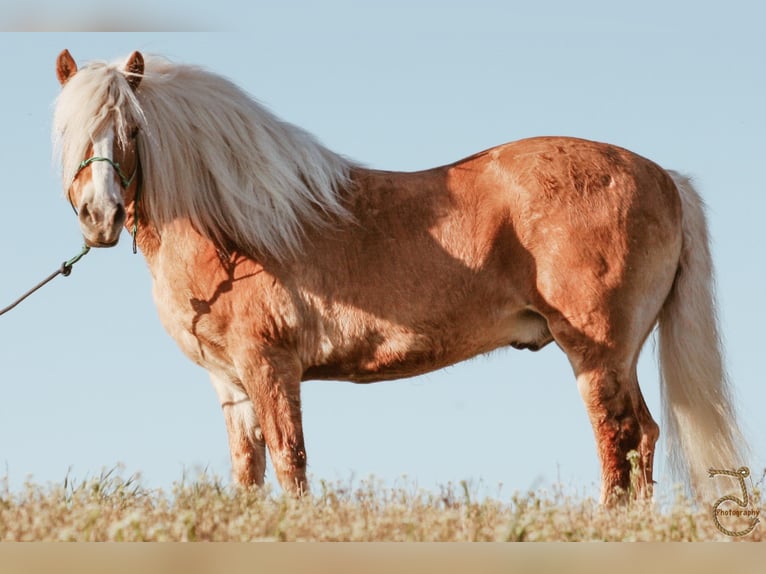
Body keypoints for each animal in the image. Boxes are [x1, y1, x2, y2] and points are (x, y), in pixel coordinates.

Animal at [52, 49, 744, 504]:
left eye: (131, 126)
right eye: (65, 130)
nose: (99, 216)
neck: (235, 229)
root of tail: (663, 177)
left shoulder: (271, 367)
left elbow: (291, 463)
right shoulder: (233, 386)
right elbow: (249, 474)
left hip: (596, 353)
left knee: (619, 439)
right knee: (642, 438)